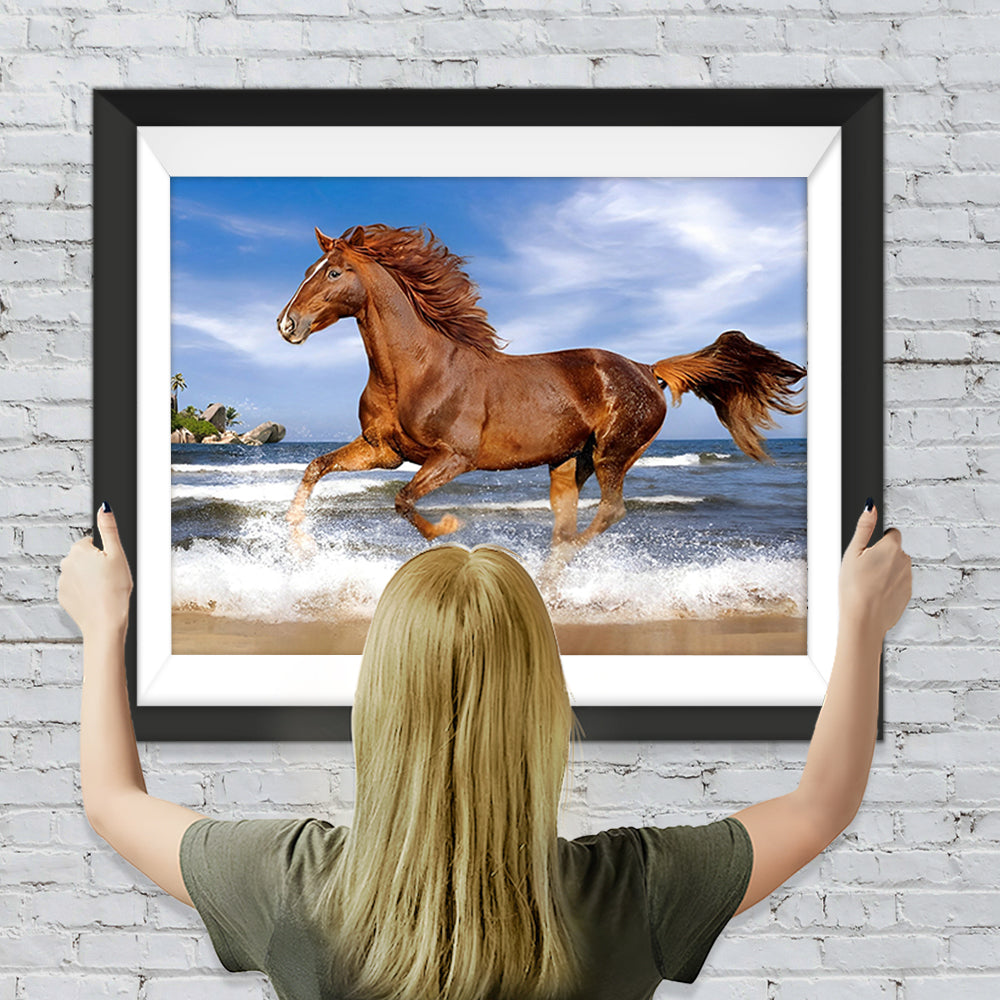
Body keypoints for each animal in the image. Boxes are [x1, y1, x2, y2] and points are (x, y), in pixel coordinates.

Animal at [277, 224, 806, 565]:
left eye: (333, 272)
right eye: (307, 268)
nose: (286, 324)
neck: (417, 370)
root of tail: (645, 369)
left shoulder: (455, 457)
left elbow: (404, 500)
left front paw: (448, 531)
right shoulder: (382, 451)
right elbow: (315, 468)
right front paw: (299, 544)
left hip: (613, 453)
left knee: (608, 512)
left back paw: (558, 566)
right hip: (570, 462)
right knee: (568, 522)